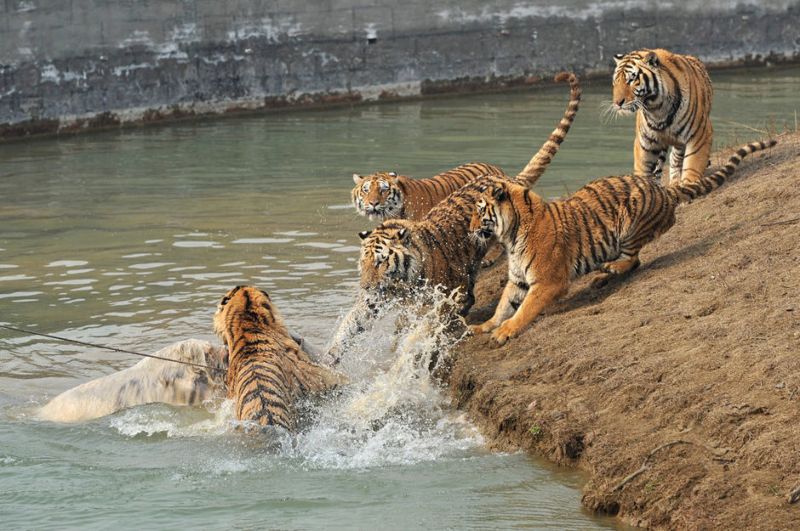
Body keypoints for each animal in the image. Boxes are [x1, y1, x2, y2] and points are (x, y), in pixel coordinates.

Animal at [468, 138, 776, 344]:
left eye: (479, 210)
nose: (469, 229)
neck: (511, 235)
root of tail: (663, 191)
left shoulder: (547, 282)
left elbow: (523, 311)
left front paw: (505, 331)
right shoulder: (518, 279)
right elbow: (504, 305)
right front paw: (484, 326)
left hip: (629, 227)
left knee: (634, 259)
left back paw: (611, 269)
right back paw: (602, 276)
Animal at [612, 46, 712, 187]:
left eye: (631, 80)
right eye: (616, 81)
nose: (617, 103)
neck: (657, 108)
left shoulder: (700, 135)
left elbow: (692, 166)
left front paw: (688, 186)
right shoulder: (645, 142)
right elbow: (643, 169)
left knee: (675, 159)